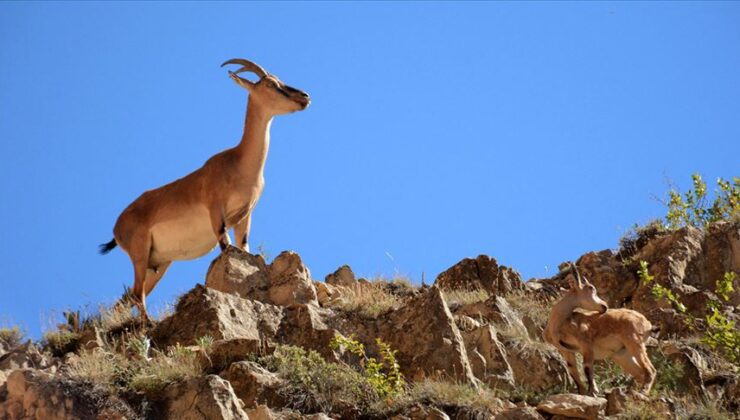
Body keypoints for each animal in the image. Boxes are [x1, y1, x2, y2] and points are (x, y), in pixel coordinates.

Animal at [99, 58, 310, 322]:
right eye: (271, 84)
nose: (305, 97)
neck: (239, 164)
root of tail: (117, 227)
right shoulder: (215, 211)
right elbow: (225, 247)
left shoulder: (245, 215)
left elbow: (243, 247)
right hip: (139, 253)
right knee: (137, 294)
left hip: (158, 263)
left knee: (129, 297)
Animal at [540, 264, 656, 396]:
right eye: (590, 288)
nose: (604, 306)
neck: (558, 324)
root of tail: (647, 324)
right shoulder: (566, 350)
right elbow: (573, 371)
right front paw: (582, 392)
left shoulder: (586, 345)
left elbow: (587, 367)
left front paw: (593, 391)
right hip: (622, 354)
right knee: (640, 373)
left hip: (635, 343)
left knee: (650, 369)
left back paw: (643, 391)